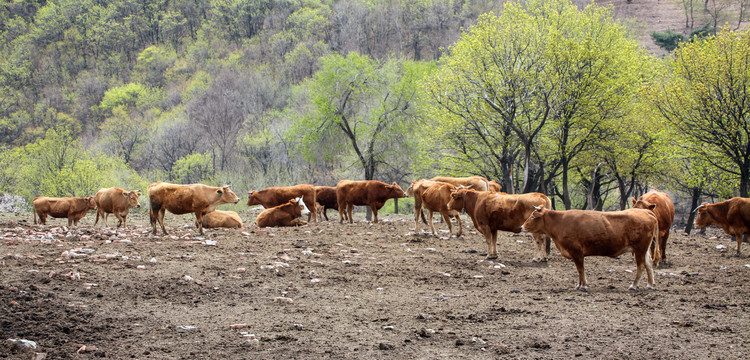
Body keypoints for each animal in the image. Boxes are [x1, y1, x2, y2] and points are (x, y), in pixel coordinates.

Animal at [520, 207, 660, 292]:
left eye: (532, 216)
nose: (521, 227)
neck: (560, 222)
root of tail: (645, 211)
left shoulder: (576, 252)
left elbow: (580, 269)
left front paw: (582, 285)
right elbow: (580, 270)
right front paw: (581, 284)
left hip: (640, 248)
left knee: (641, 266)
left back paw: (634, 285)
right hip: (644, 249)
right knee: (648, 264)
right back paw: (650, 284)